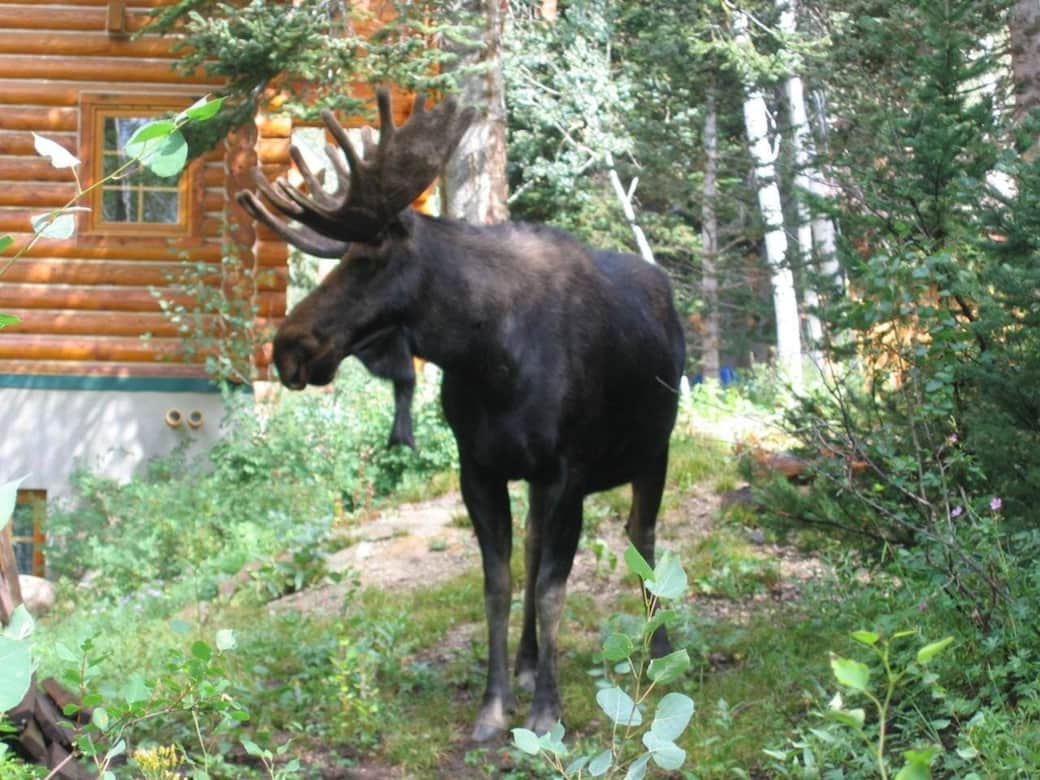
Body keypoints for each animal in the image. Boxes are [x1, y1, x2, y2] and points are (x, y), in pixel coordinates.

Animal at [238, 89, 686, 741]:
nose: (288, 347)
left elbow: (553, 589)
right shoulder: (478, 467)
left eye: (369, 258)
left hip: (655, 448)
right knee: (535, 543)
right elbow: (499, 583)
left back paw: (658, 649)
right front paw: (495, 705)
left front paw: (547, 712)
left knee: (641, 536)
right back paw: (528, 662)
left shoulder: (569, 469)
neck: (489, 359)